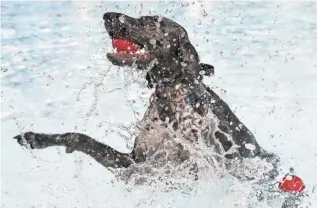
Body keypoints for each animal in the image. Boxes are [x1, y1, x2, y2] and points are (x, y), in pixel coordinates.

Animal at [12, 12, 274, 173]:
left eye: (152, 22)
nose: (107, 15)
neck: (170, 102)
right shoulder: (134, 162)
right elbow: (80, 138)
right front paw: (37, 138)